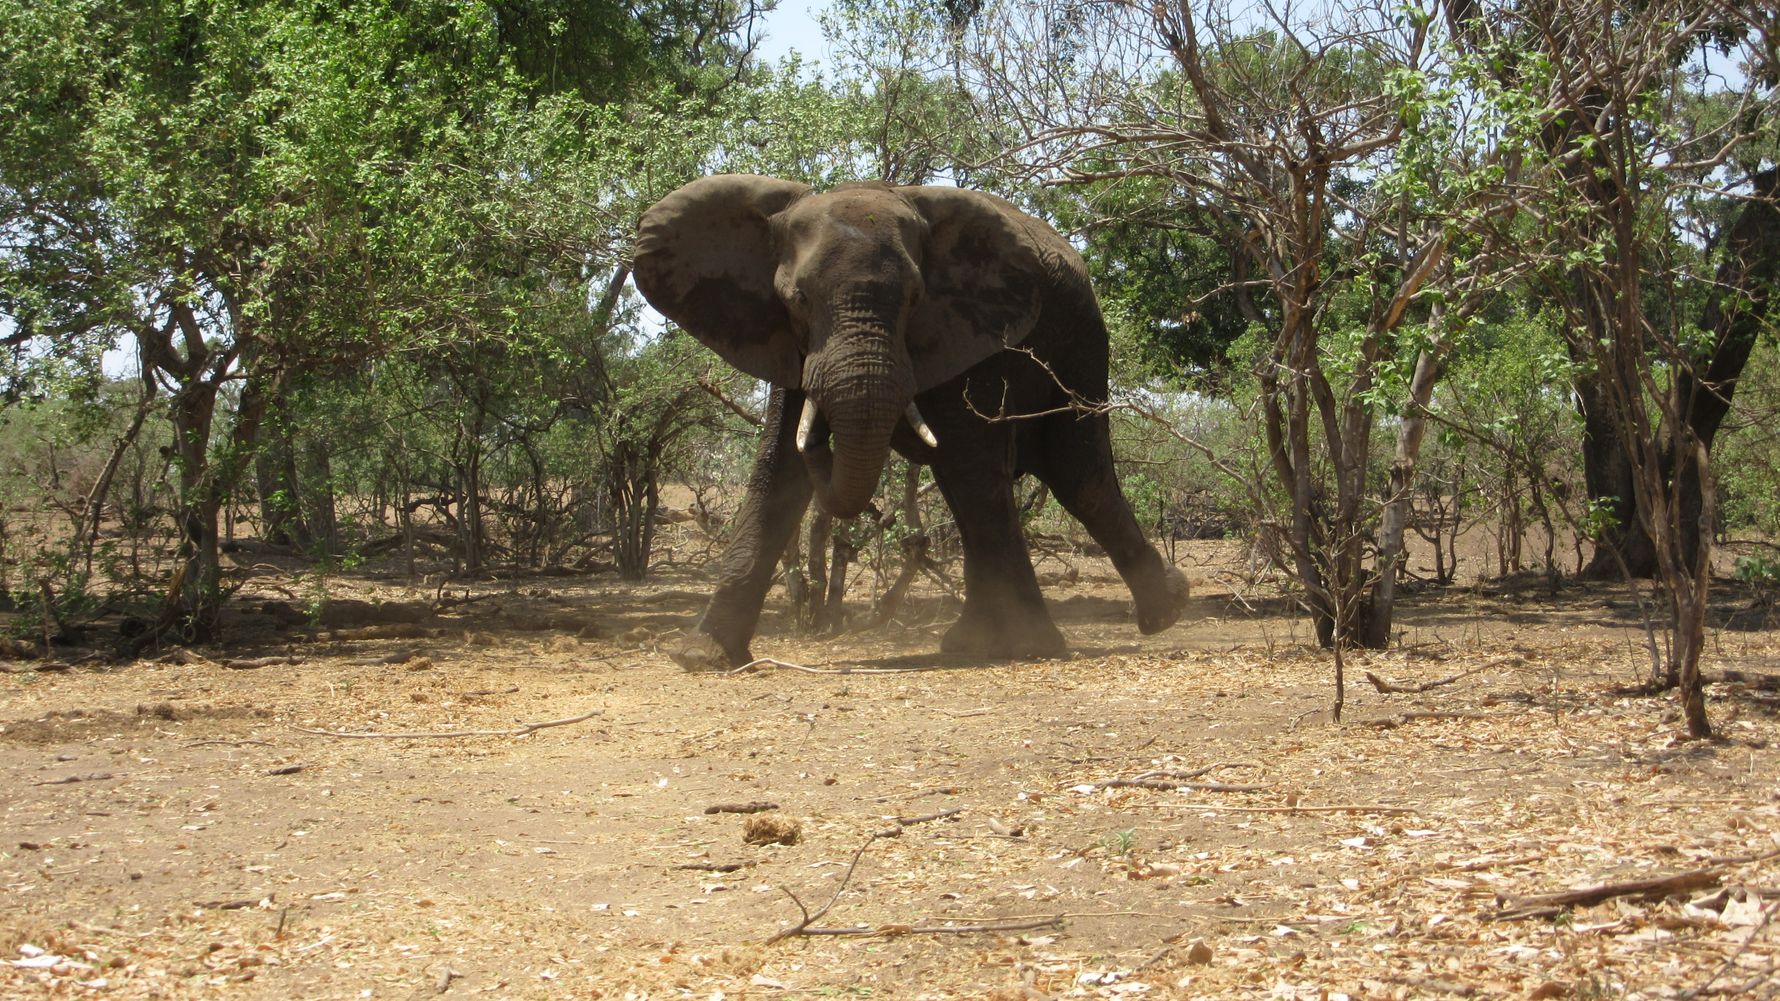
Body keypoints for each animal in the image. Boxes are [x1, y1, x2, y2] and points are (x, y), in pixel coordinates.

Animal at [633, 174, 1189, 670]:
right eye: (798, 300)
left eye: (915, 300)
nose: (825, 443)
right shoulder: (786, 340)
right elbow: (778, 468)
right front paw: (701, 658)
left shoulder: (971, 325)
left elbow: (971, 461)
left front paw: (1028, 648)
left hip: (1081, 338)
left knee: (1072, 472)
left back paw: (1161, 611)